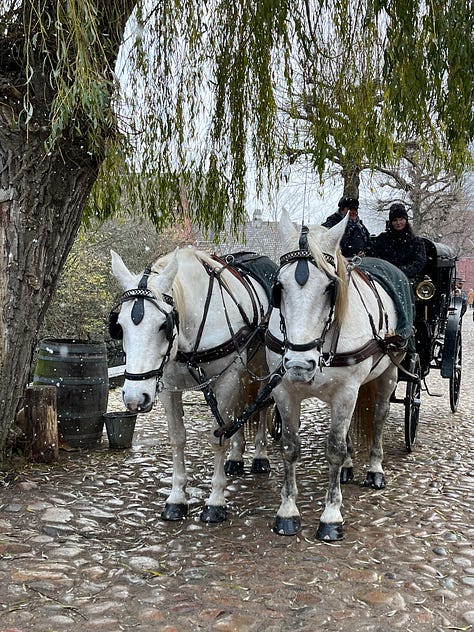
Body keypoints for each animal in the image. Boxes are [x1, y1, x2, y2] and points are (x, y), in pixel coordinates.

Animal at [111, 249, 274, 520]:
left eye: (163, 325)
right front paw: (177, 498)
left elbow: (218, 436)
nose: (135, 398)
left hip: (262, 367)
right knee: (239, 409)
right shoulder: (169, 385)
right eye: (119, 326)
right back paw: (236, 457)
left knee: (262, 407)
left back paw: (260, 456)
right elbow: (177, 437)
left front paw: (216, 501)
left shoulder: (226, 379)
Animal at [266, 210, 408, 540]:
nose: (299, 364)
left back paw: (374, 470)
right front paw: (287, 511)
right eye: (279, 287)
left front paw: (331, 517)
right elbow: (290, 448)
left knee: (379, 417)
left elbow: (333, 448)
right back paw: (348, 467)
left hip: (390, 372)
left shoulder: (346, 391)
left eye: (330, 287)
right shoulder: (284, 391)